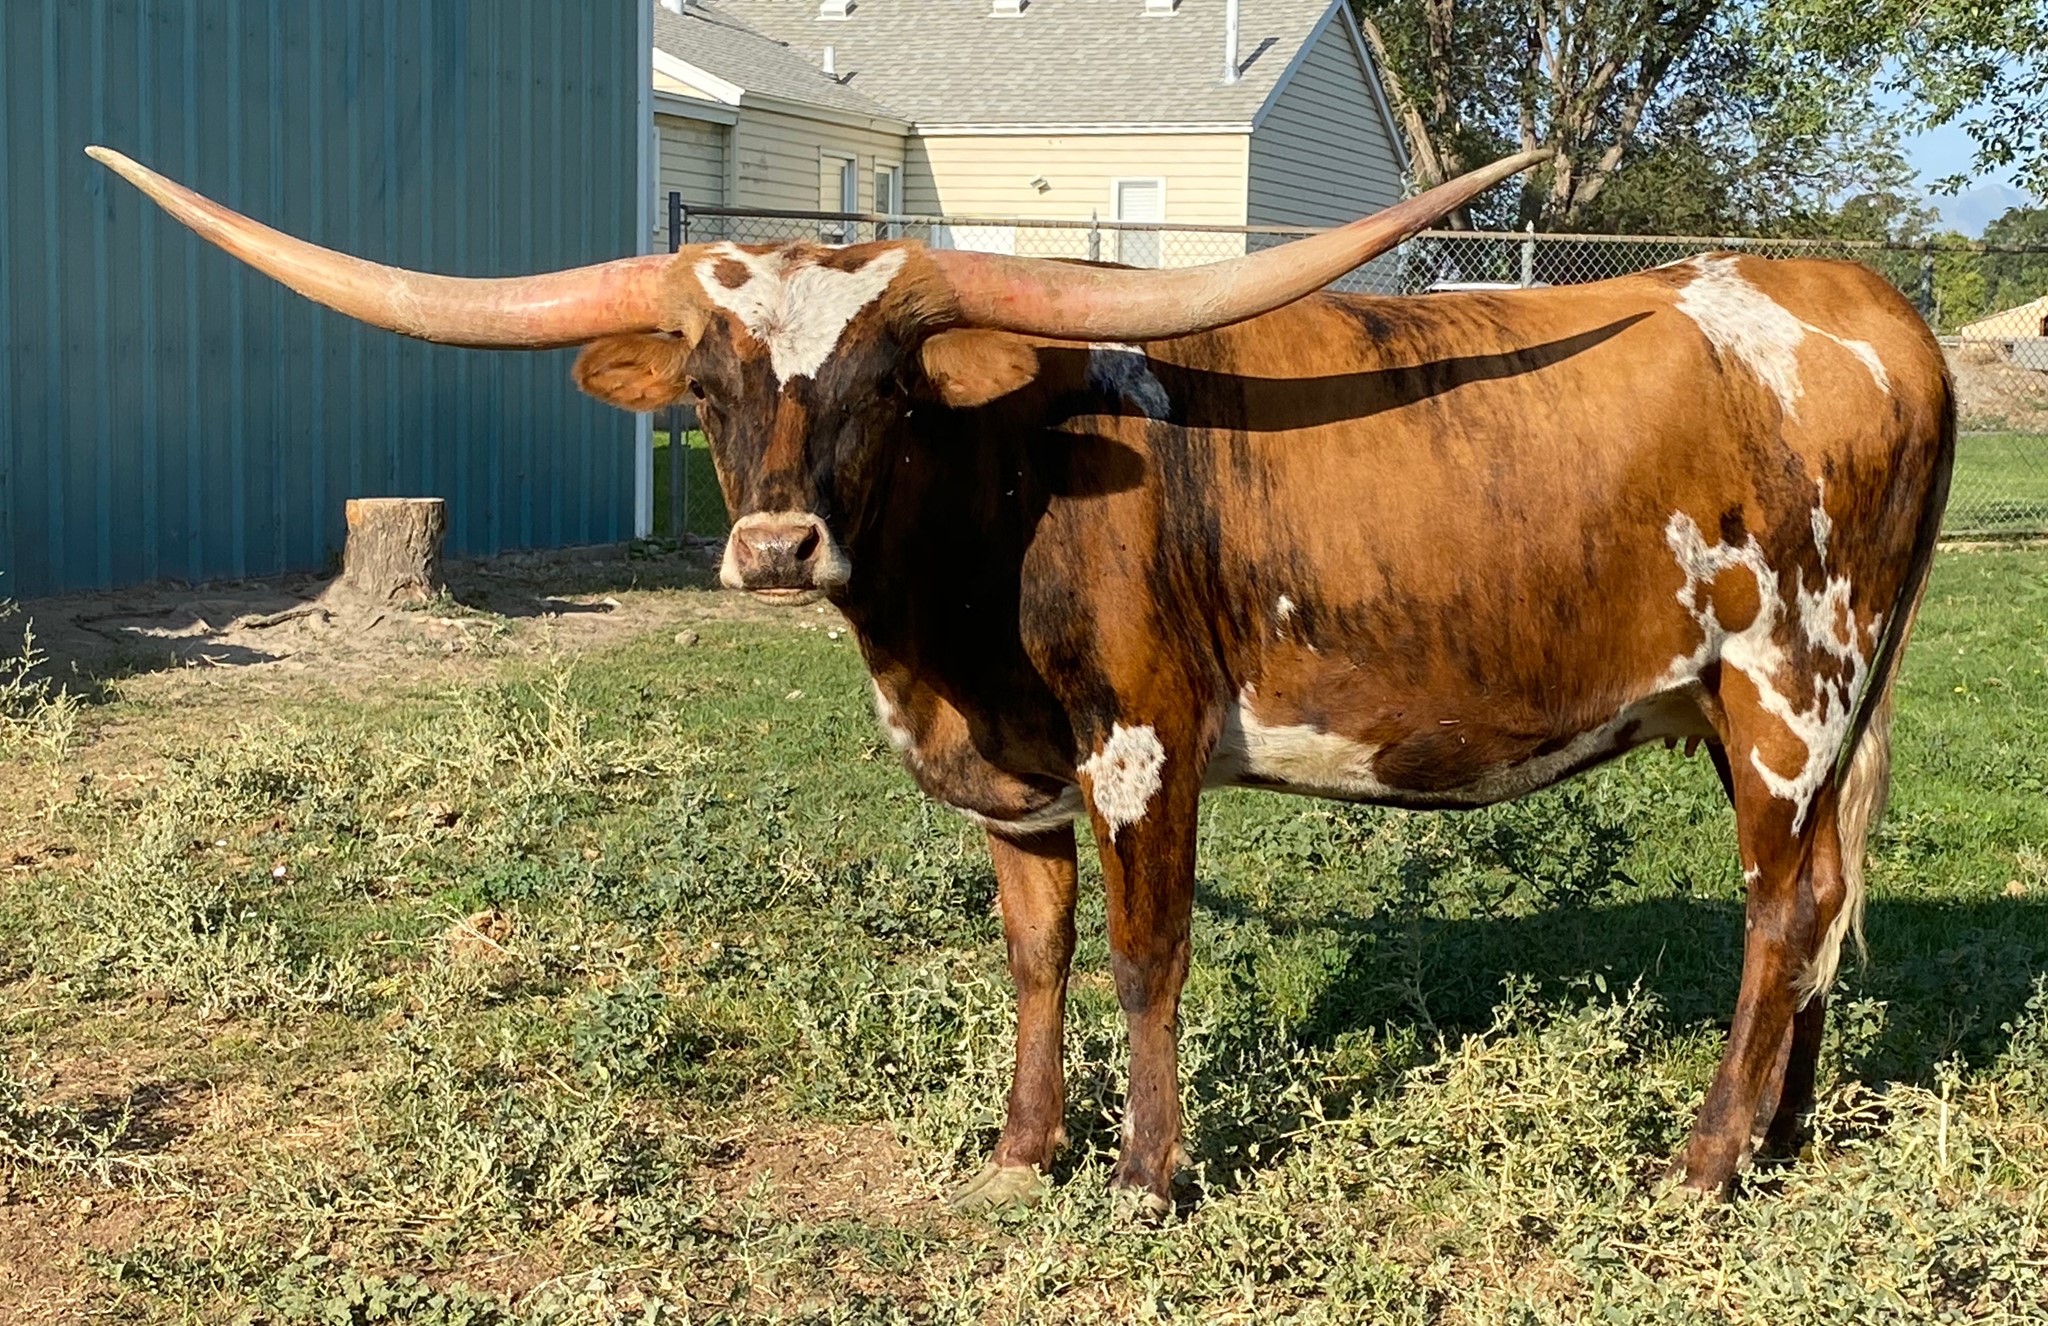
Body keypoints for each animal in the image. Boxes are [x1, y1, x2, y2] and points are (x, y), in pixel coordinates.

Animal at [91, 145, 1953, 1215]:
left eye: (882, 387)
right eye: (705, 385)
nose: (773, 546)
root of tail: (1860, 300)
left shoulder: (1142, 742)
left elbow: (1143, 956)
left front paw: (1144, 1174)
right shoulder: (1011, 773)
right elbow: (1035, 953)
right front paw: (1019, 1150)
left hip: (1787, 685)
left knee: (1780, 909)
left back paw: (1703, 1157)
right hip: (1771, 710)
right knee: (1814, 904)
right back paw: (1778, 1139)